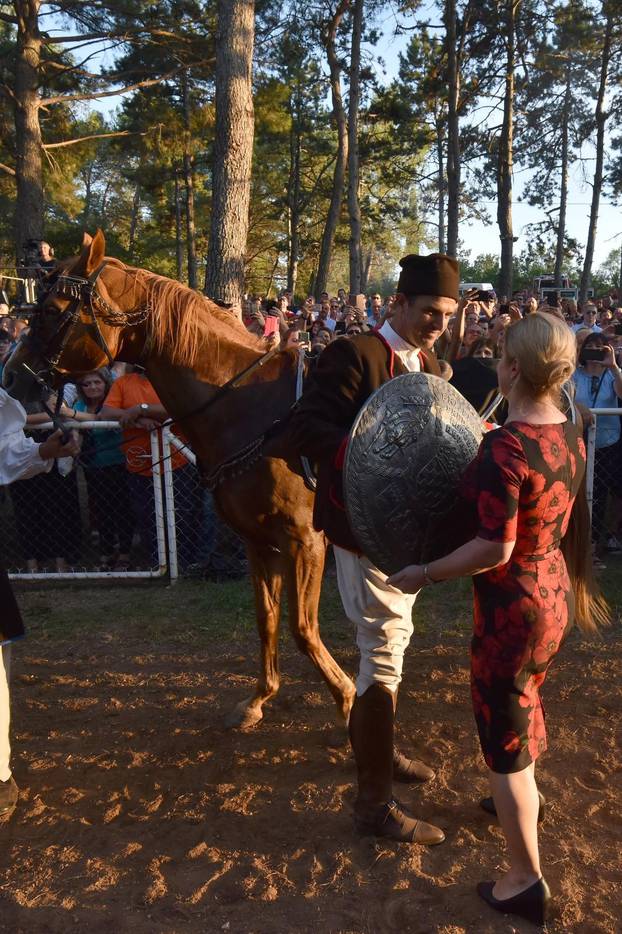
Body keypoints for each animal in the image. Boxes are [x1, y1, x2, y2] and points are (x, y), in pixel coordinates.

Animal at [3, 232, 356, 732]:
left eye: (52, 310)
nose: (12, 377)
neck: (254, 408)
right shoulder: (260, 541)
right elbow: (267, 620)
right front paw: (259, 698)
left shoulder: (306, 541)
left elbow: (302, 629)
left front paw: (348, 700)